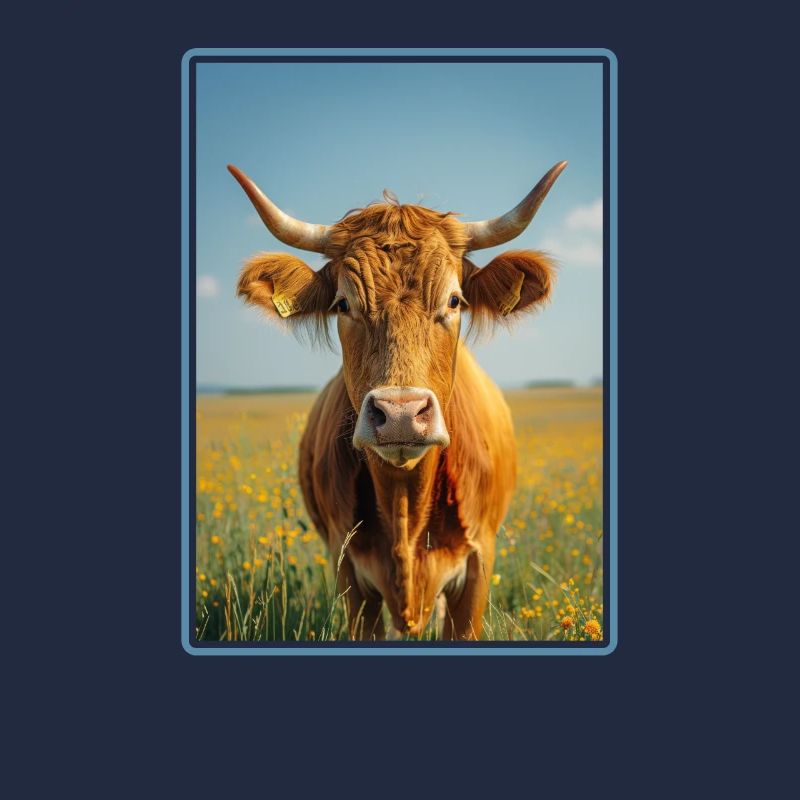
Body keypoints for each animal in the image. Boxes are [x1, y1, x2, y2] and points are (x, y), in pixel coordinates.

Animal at [229, 161, 566, 640]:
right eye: (343, 304)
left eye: (454, 300)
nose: (401, 414)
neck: (406, 506)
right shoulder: (350, 574)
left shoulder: (478, 564)